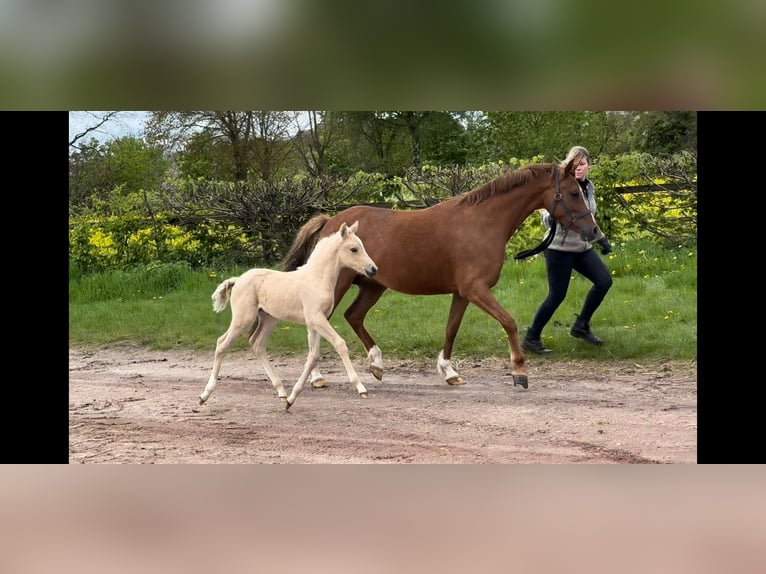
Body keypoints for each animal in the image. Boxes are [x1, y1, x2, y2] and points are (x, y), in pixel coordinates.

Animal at [282, 160, 608, 390]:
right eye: (573, 193)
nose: (594, 232)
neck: (483, 222)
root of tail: (331, 222)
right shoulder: (476, 290)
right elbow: (509, 322)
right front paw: (519, 372)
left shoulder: (463, 293)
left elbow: (451, 329)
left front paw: (450, 372)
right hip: (339, 286)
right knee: (319, 322)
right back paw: (318, 377)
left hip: (373, 285)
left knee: (354, 316)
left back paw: (377, 364)